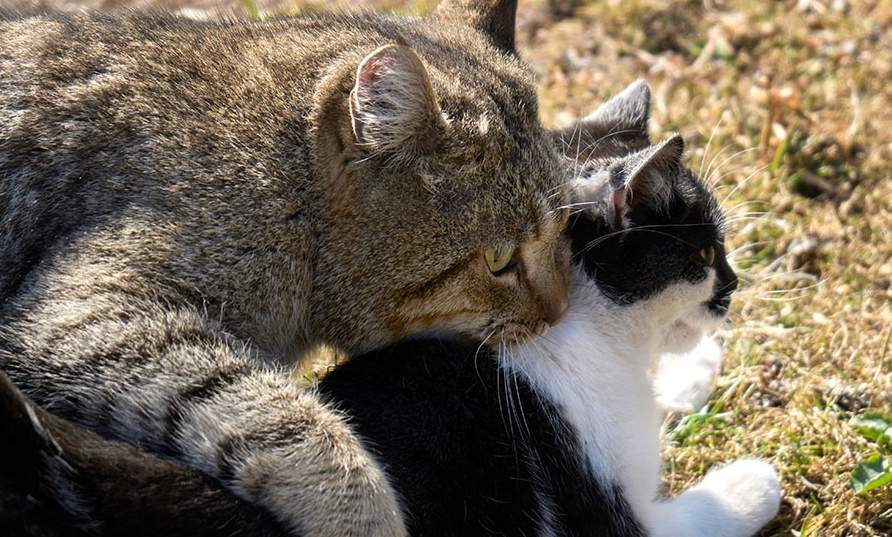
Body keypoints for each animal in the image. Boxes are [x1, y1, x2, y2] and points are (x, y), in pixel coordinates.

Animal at [0, 2, 572, 532]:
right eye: (498, 260)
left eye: (563, 228)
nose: (562, 310)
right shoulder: (76, 311)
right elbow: (277, 419)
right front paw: (360, 515)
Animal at [318, 80, 780, 536]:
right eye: (707, 253)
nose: (734, 285)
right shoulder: (608, 516)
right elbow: (702, 513)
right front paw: (755, 480)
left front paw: (693, 370)